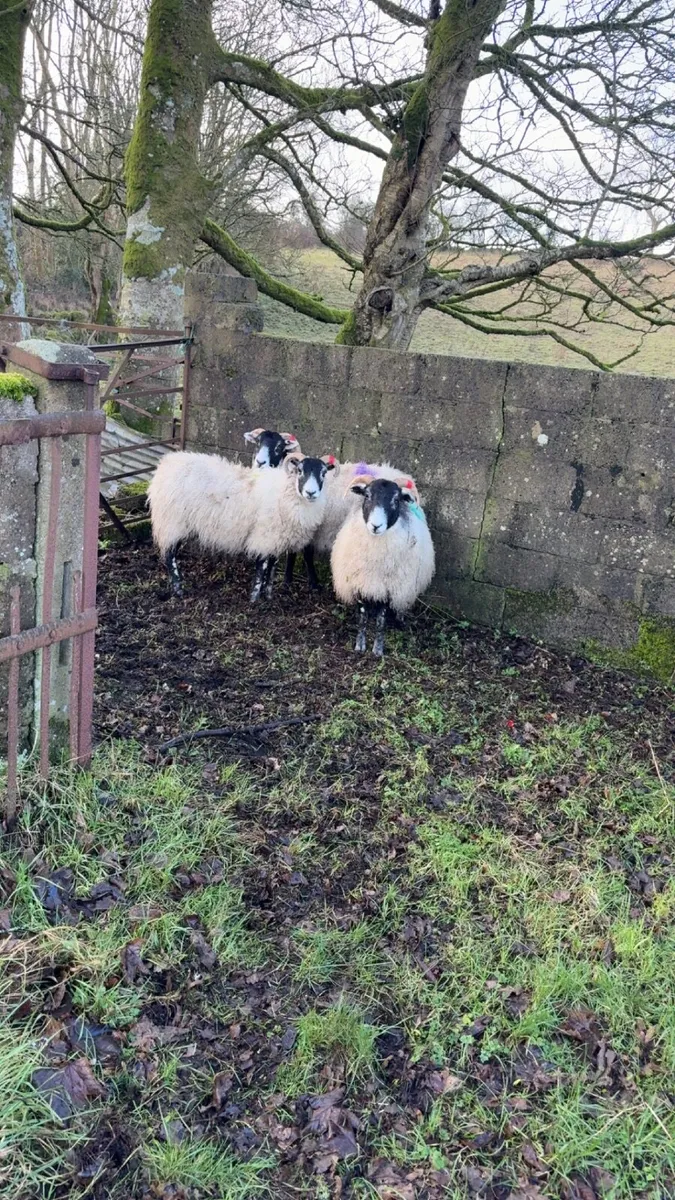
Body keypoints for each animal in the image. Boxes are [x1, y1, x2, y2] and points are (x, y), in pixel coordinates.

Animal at [148, 450, 336, 602]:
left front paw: (268, 596)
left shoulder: (276, 539)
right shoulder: (263, 536)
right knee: (170, 555)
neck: (286, 492)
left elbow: (272, 568)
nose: (311, 493)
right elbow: (262, 568)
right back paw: (179, 589)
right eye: (300, 471)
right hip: (172, 521)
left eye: (324, 473)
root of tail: (166, 463)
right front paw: (254, 599)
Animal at [330, 474, 435, 656]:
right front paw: (360, 645)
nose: (375, 526)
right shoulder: (359, 584)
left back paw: (400, 618)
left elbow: (381, 621)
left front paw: (378, 649)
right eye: (367, 495)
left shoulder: (388, 588)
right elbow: (362, 618)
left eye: (396, 499)